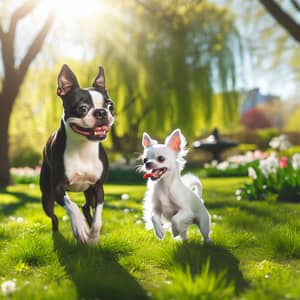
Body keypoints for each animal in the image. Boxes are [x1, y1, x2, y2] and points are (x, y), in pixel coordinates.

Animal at [39, 63, 114, 244]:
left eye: (110, 106)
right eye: (83, 108)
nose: (102, 112)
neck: (83, 147)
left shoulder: (98, 188)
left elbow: (98, 218)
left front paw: (93, 235)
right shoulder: (58, 187)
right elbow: (71, 206)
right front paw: (79, 228)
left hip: (89, 192)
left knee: (86, 206)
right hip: (47, 198)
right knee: (54, 216)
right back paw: (57, 231)